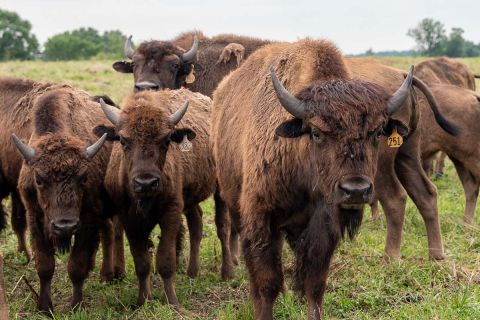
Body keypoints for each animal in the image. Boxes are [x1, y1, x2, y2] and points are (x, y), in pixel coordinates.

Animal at [12, 87, 113, 312]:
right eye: (39, 179)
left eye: (83, 177)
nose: (64, 226)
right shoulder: (35, 217)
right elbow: (45, 266)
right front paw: (44, 307)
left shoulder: (87, 219)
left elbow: (76, 266)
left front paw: (76, 306)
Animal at [95, 89, 216, 306]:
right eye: (123, 140)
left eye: (166, 140)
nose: (146, 183)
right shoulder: (130, 221)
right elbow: (142, 261)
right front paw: (143, 300)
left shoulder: (171, 212)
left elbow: (165, 259)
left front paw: (172, 301)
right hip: (189, 199)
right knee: (196, 222)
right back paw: (192, 272)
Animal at [212, 39, 426, 320]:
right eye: (316, 132)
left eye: (378, 132)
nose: (355, 190)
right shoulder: (261, 218)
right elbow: (267, 281)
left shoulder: (324, 225)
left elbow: (315, 283)